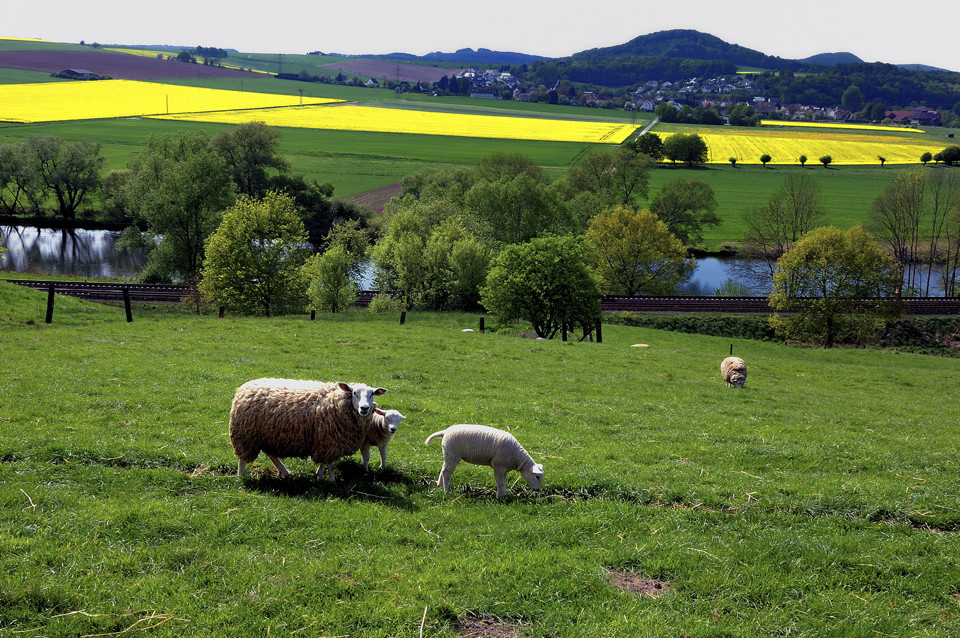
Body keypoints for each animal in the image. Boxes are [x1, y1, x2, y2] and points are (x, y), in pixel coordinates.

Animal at [228, 380, 386, 480]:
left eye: (371, 394)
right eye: (354, 393)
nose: (364, 408)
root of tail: (245, 386)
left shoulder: (324, 441)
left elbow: (324, 462)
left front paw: (319, 475)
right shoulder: (330, 441)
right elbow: (331, 465)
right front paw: (331, 480)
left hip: (268, 435)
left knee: (271, 454)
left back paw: (285, 472)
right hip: (246, 436)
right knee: (242, 458)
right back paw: (241, 475)